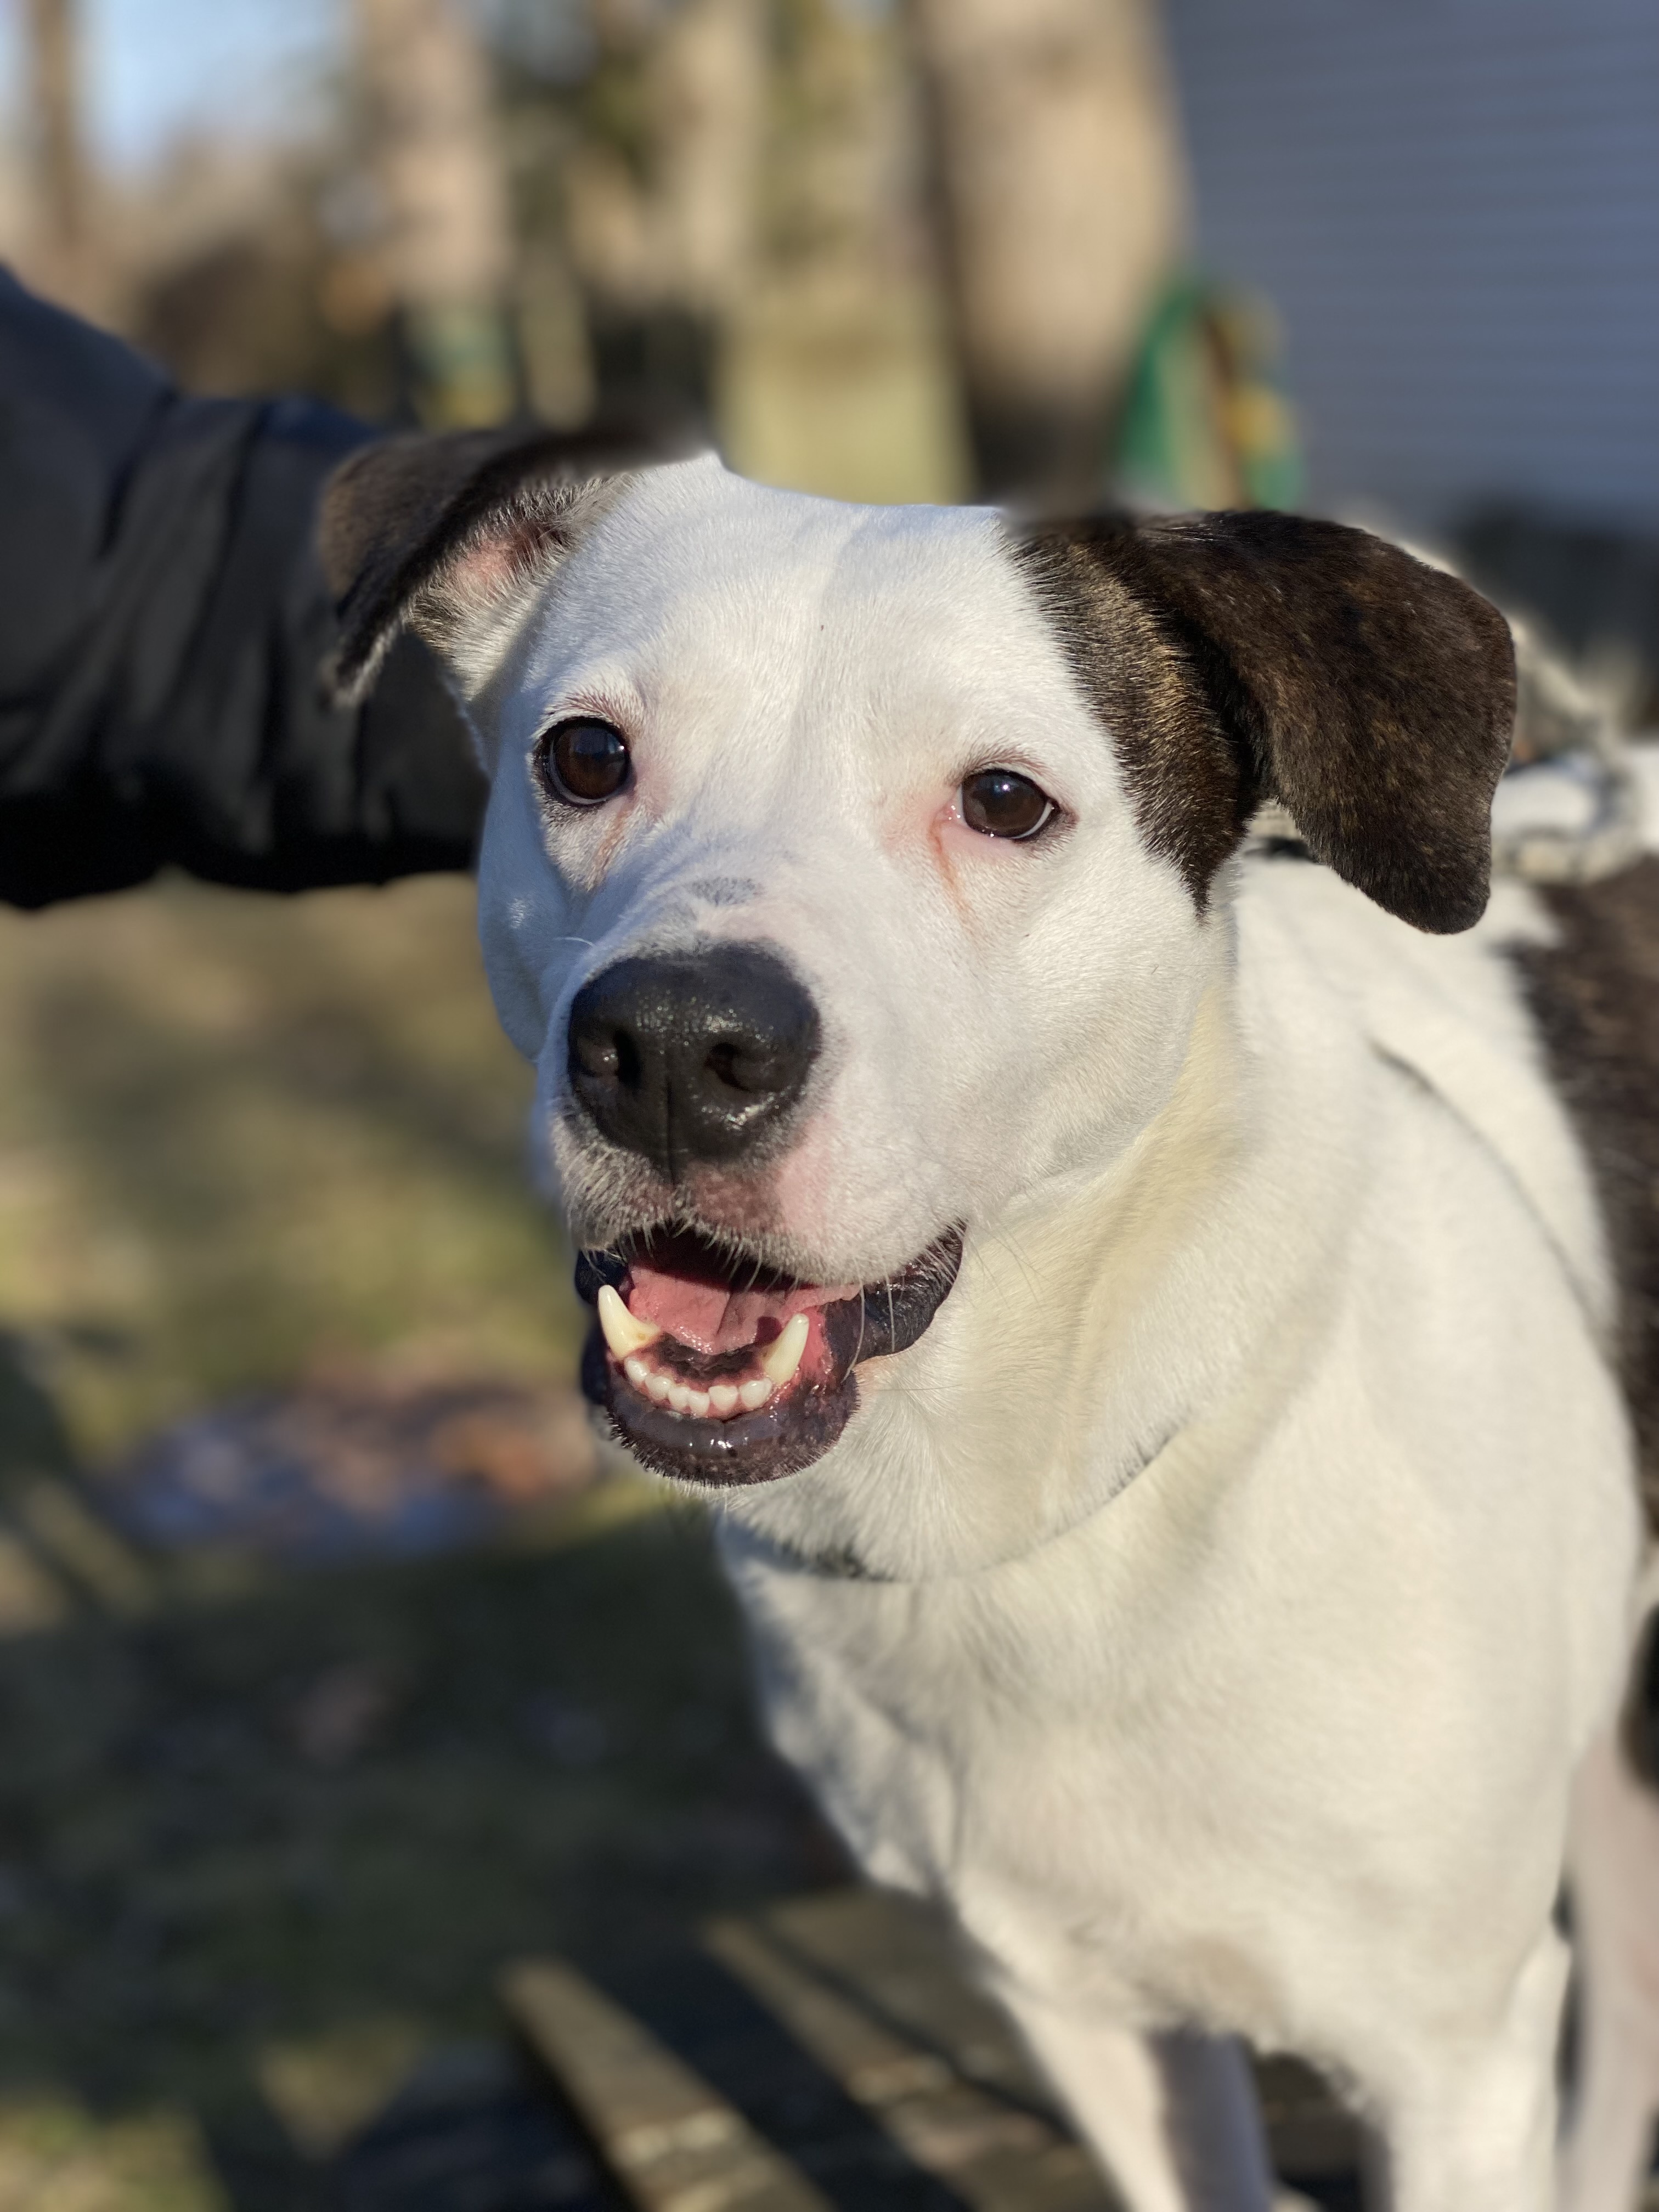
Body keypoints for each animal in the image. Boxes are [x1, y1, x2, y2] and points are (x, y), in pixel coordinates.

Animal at [320, 436, 1659, 2212]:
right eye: (587, 756)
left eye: (1007, 801)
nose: (673, 1049)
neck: (1032, 1507)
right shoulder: (1097, 2020)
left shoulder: (1451, 2063)